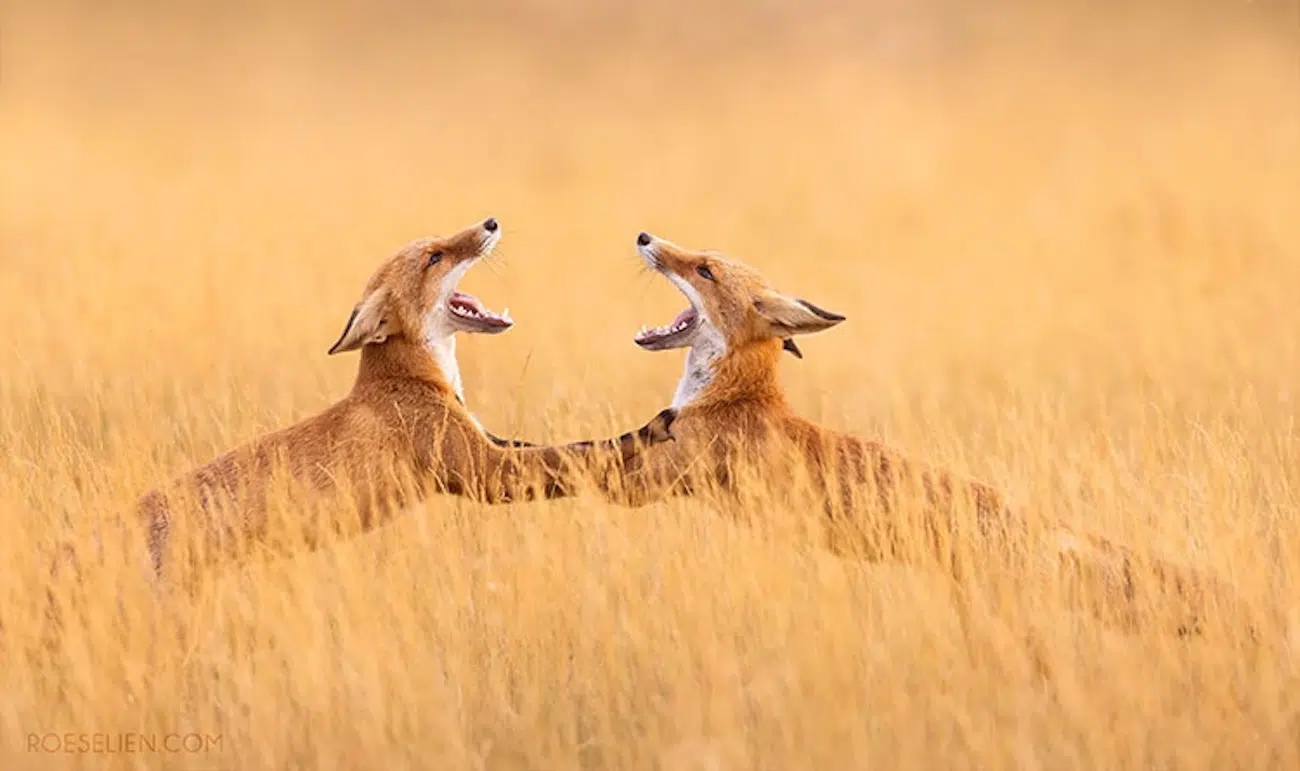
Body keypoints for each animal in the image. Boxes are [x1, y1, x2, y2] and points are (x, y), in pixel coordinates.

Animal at [115, 219, 677, 587]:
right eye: (434, 258)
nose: (490, 222)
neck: (413, 382)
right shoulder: (481, 472)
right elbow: (571, 455)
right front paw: (642, 438)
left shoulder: (481, 438)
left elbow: (565, 446)